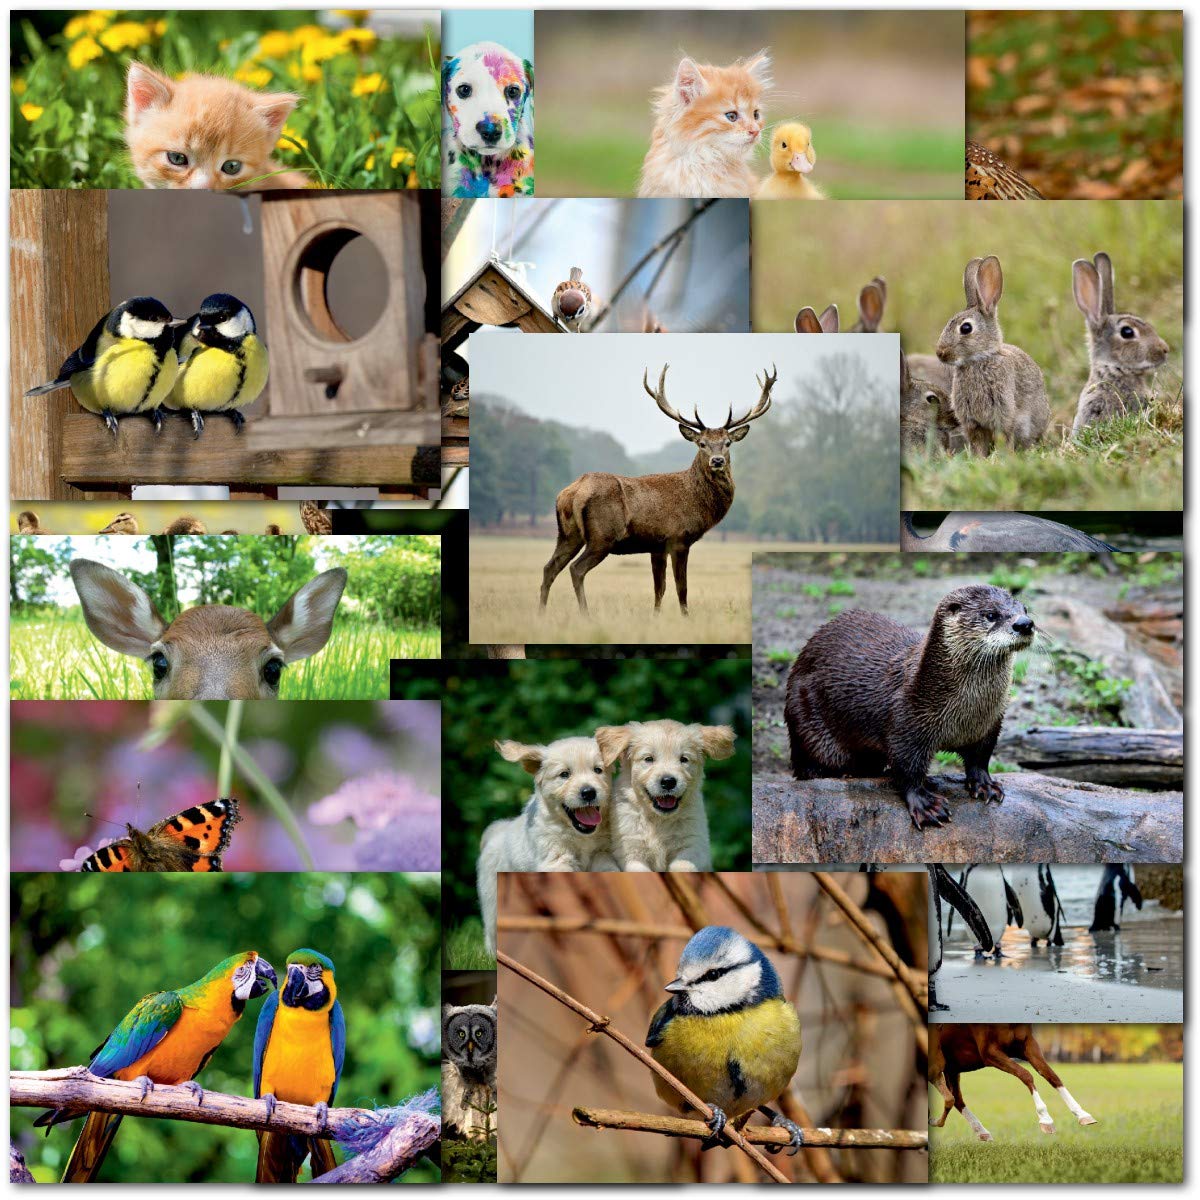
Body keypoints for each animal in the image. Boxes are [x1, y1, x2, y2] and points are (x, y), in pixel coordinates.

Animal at [539, 363, 776, 616]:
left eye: (728, 443)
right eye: (701, 443)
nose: (718, 460)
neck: (697, 502)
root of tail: (572, 492)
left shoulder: (657, 545)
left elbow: (659, 588)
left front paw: (656, 616)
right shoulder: (678, 538)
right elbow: (681, 587)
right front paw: (685, 617)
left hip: (568, 534)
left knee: (549, 568)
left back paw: (541, 613)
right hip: (602, 536)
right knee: (576, 569)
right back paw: (586, 615)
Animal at [930, 1024, 1098, 1143]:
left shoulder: (1027, 1043)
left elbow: (1051, 1075)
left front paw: (1082, 1114)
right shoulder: (990, 1052)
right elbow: (1026, 1075)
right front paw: (1045, 1119)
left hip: (952, 1066)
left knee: (956, 1098)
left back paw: (982, 1132)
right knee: (952, 1098)